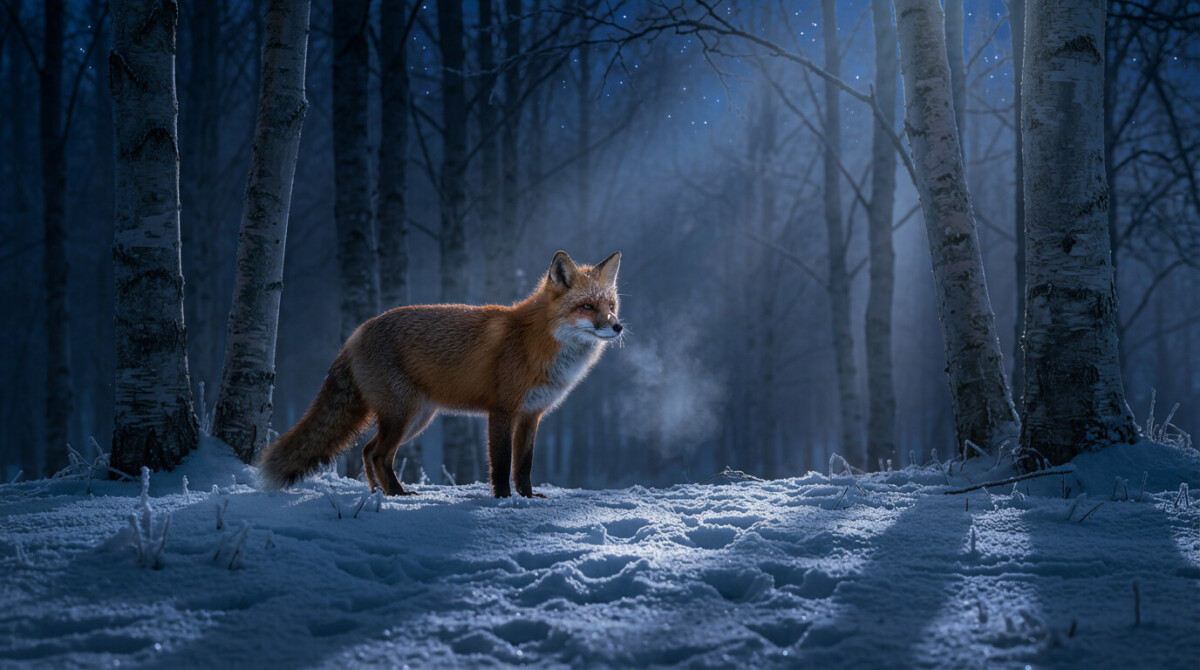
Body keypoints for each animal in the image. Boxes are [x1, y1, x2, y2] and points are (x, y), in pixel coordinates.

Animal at [258, 250, 623, 498]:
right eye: (587, 306)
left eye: (611, 306)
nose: (618, 327)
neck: (539, 343)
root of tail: (357, 332)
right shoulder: (502, 410)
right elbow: (501, 463)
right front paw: (504, 501)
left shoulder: (532, 414)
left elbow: (524, 465)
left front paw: (528, 499)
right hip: (404, 414)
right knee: (378, 454)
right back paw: (398, 496)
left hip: (416, 418)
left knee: (368, 451)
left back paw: (380, 494)